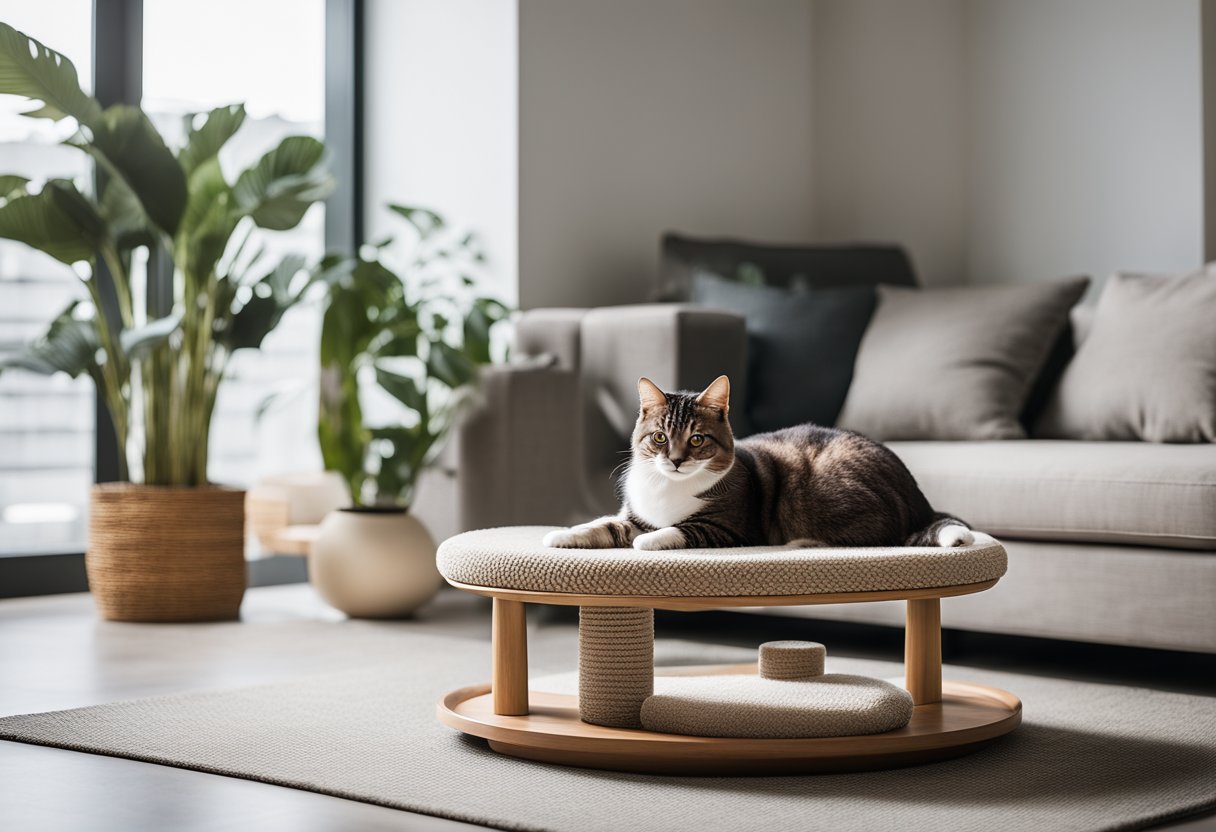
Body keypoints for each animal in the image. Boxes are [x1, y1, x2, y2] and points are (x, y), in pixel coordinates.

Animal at [547, 374, 972, 549]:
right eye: (659, 437)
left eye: (697, 439)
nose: (676, 461)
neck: (669, 488)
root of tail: (919, 498)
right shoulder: (633, 515)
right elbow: (605, 524)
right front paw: (562, 535)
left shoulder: (730, 529)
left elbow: (677, 530)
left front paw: (648, 540)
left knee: (883, 533)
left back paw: (805, 542)